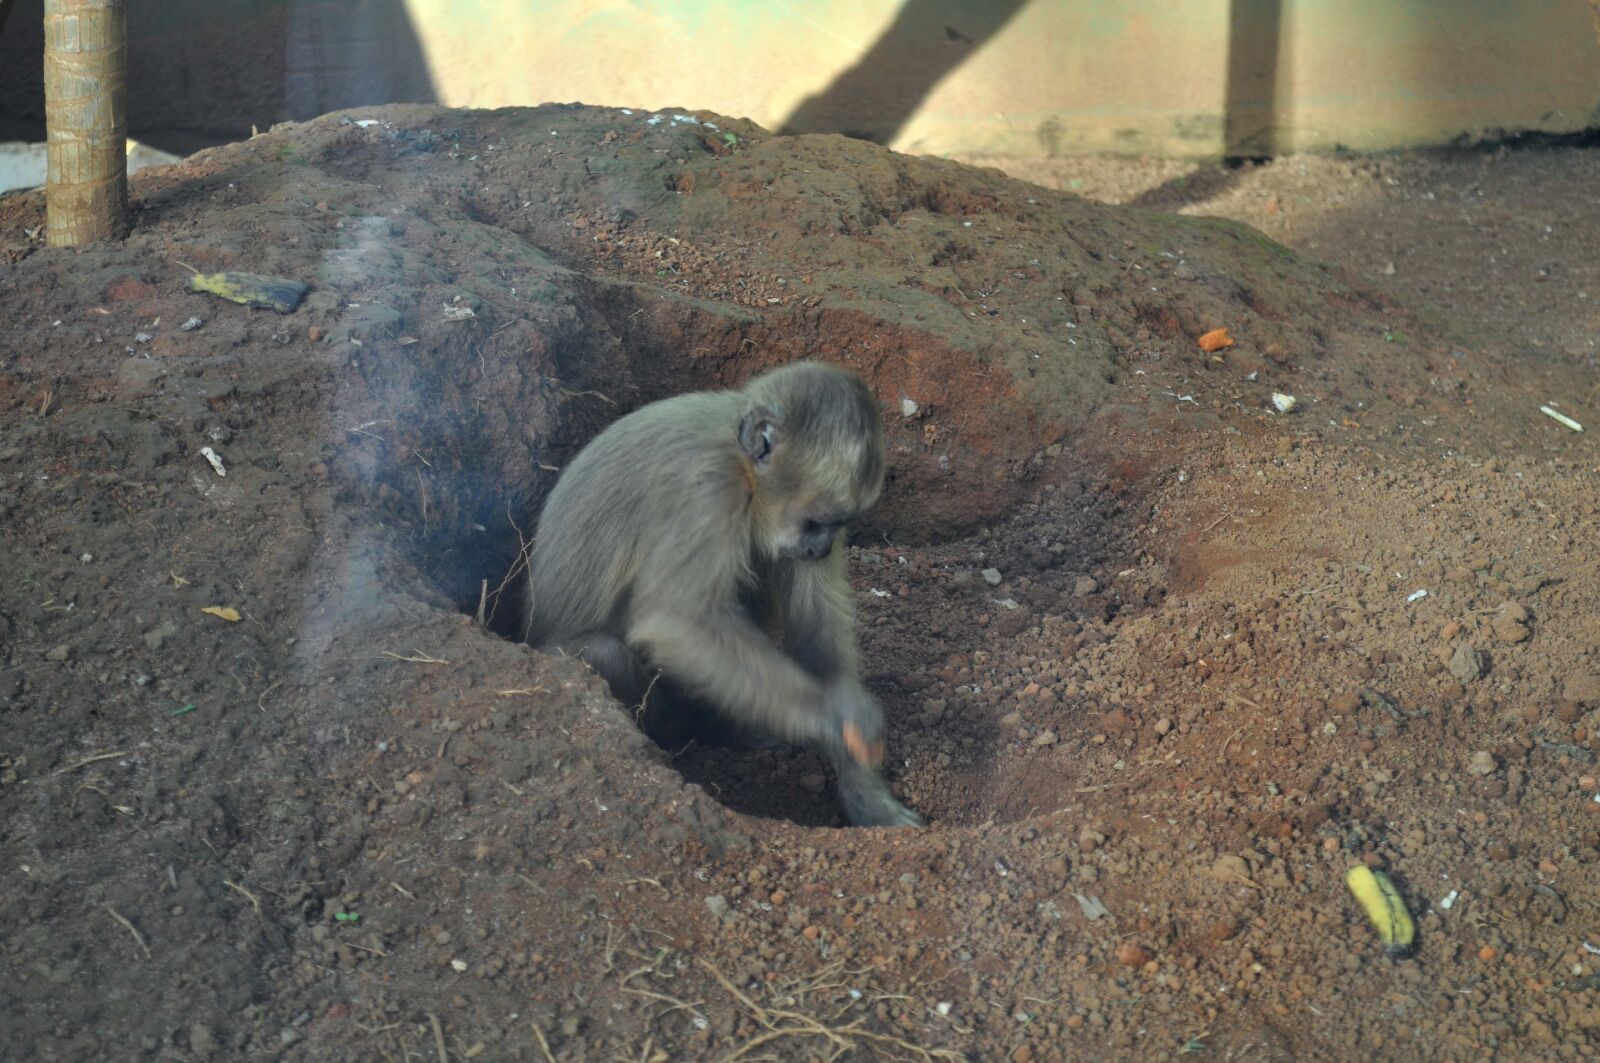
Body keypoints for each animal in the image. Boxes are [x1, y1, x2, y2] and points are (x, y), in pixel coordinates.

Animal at [524, 360, 923, 827]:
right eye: (814, 522)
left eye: (837, 525)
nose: (819, 549)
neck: (741, 462)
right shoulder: (707, 486)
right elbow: (674, 622)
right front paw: (833, 716)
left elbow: (816, 623)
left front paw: (863, 788)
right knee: (607, 653)